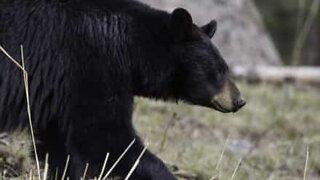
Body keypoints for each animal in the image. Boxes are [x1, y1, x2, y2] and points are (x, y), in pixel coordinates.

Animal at [0, 0, 246, 179]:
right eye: (220, 70)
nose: (240, 100)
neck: (129, 48)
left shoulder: (60, 93)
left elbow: (59, 145)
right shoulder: (88, 67)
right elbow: (106, 137)